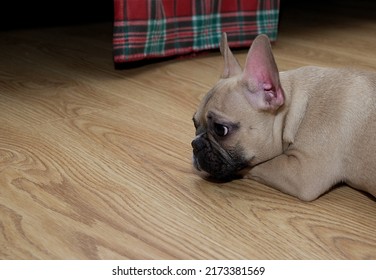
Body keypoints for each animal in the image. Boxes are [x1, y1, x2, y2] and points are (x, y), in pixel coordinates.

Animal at [192, 32, 374, 201]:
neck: (294, 109)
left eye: (221, 130)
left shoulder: (302, 172)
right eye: (194, 122)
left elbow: (260, 165)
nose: (195, 144)